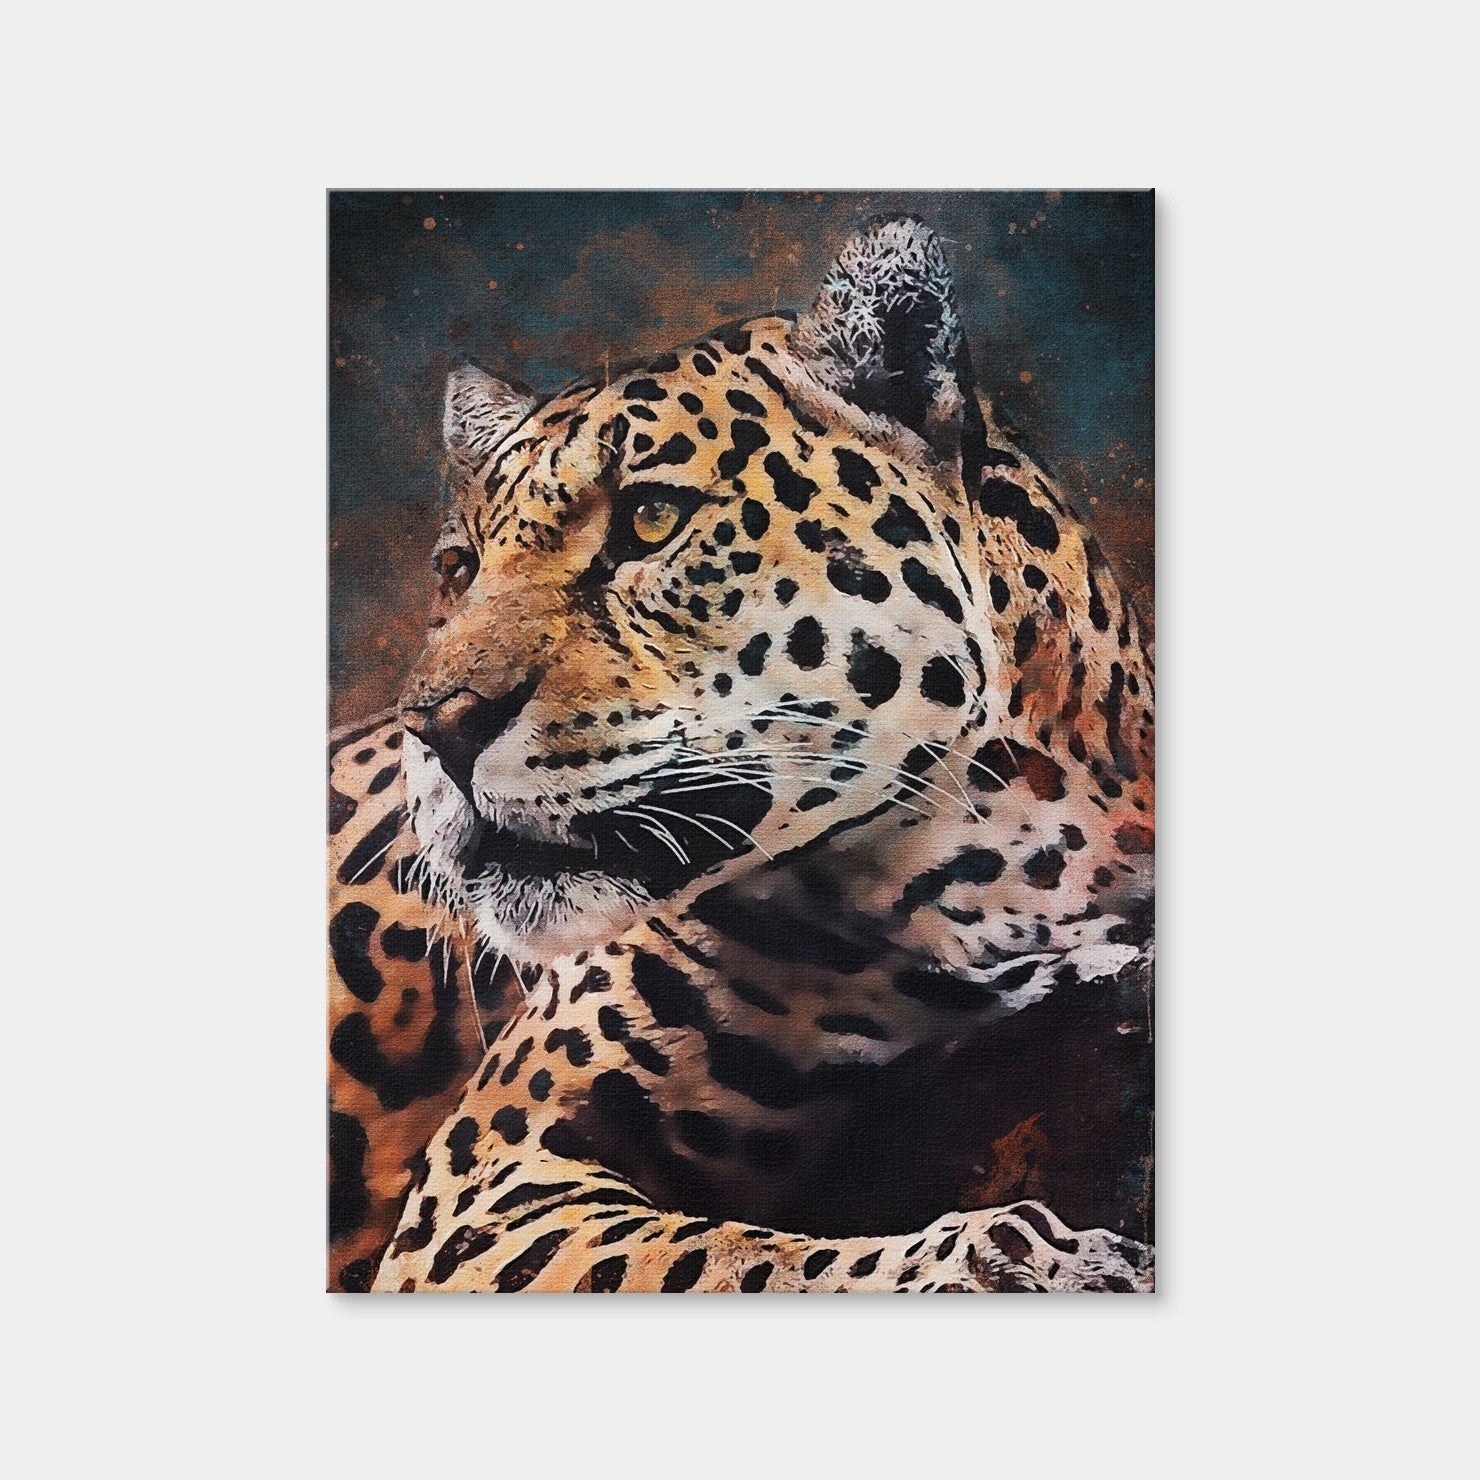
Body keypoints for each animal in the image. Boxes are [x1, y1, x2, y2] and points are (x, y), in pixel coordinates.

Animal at [328, 216, 1155, 1293]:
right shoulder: (490, 1174)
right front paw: (1038, 1261)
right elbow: (738, 1259)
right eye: (458, 569)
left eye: (650, 519)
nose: (437, 727)